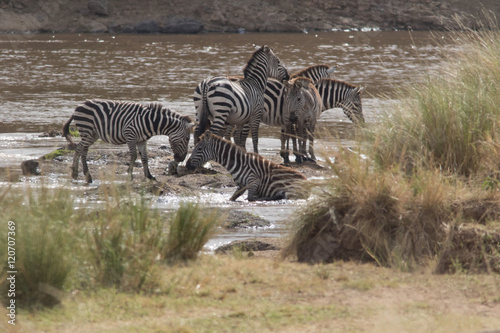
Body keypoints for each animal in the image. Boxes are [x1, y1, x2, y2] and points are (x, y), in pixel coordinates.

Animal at [62, 100, 193, 183]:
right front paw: (129, 175)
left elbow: (145, 158)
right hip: (87, 131)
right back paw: (81, 175)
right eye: (187, 139)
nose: (181, 159)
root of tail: (78, 106)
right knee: (81, 149)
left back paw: (80, 174)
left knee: (81, 149)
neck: (150, 122)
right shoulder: (130, 136)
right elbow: (134, 156)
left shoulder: (142, 141)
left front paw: (149, 176)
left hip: (93, 134)